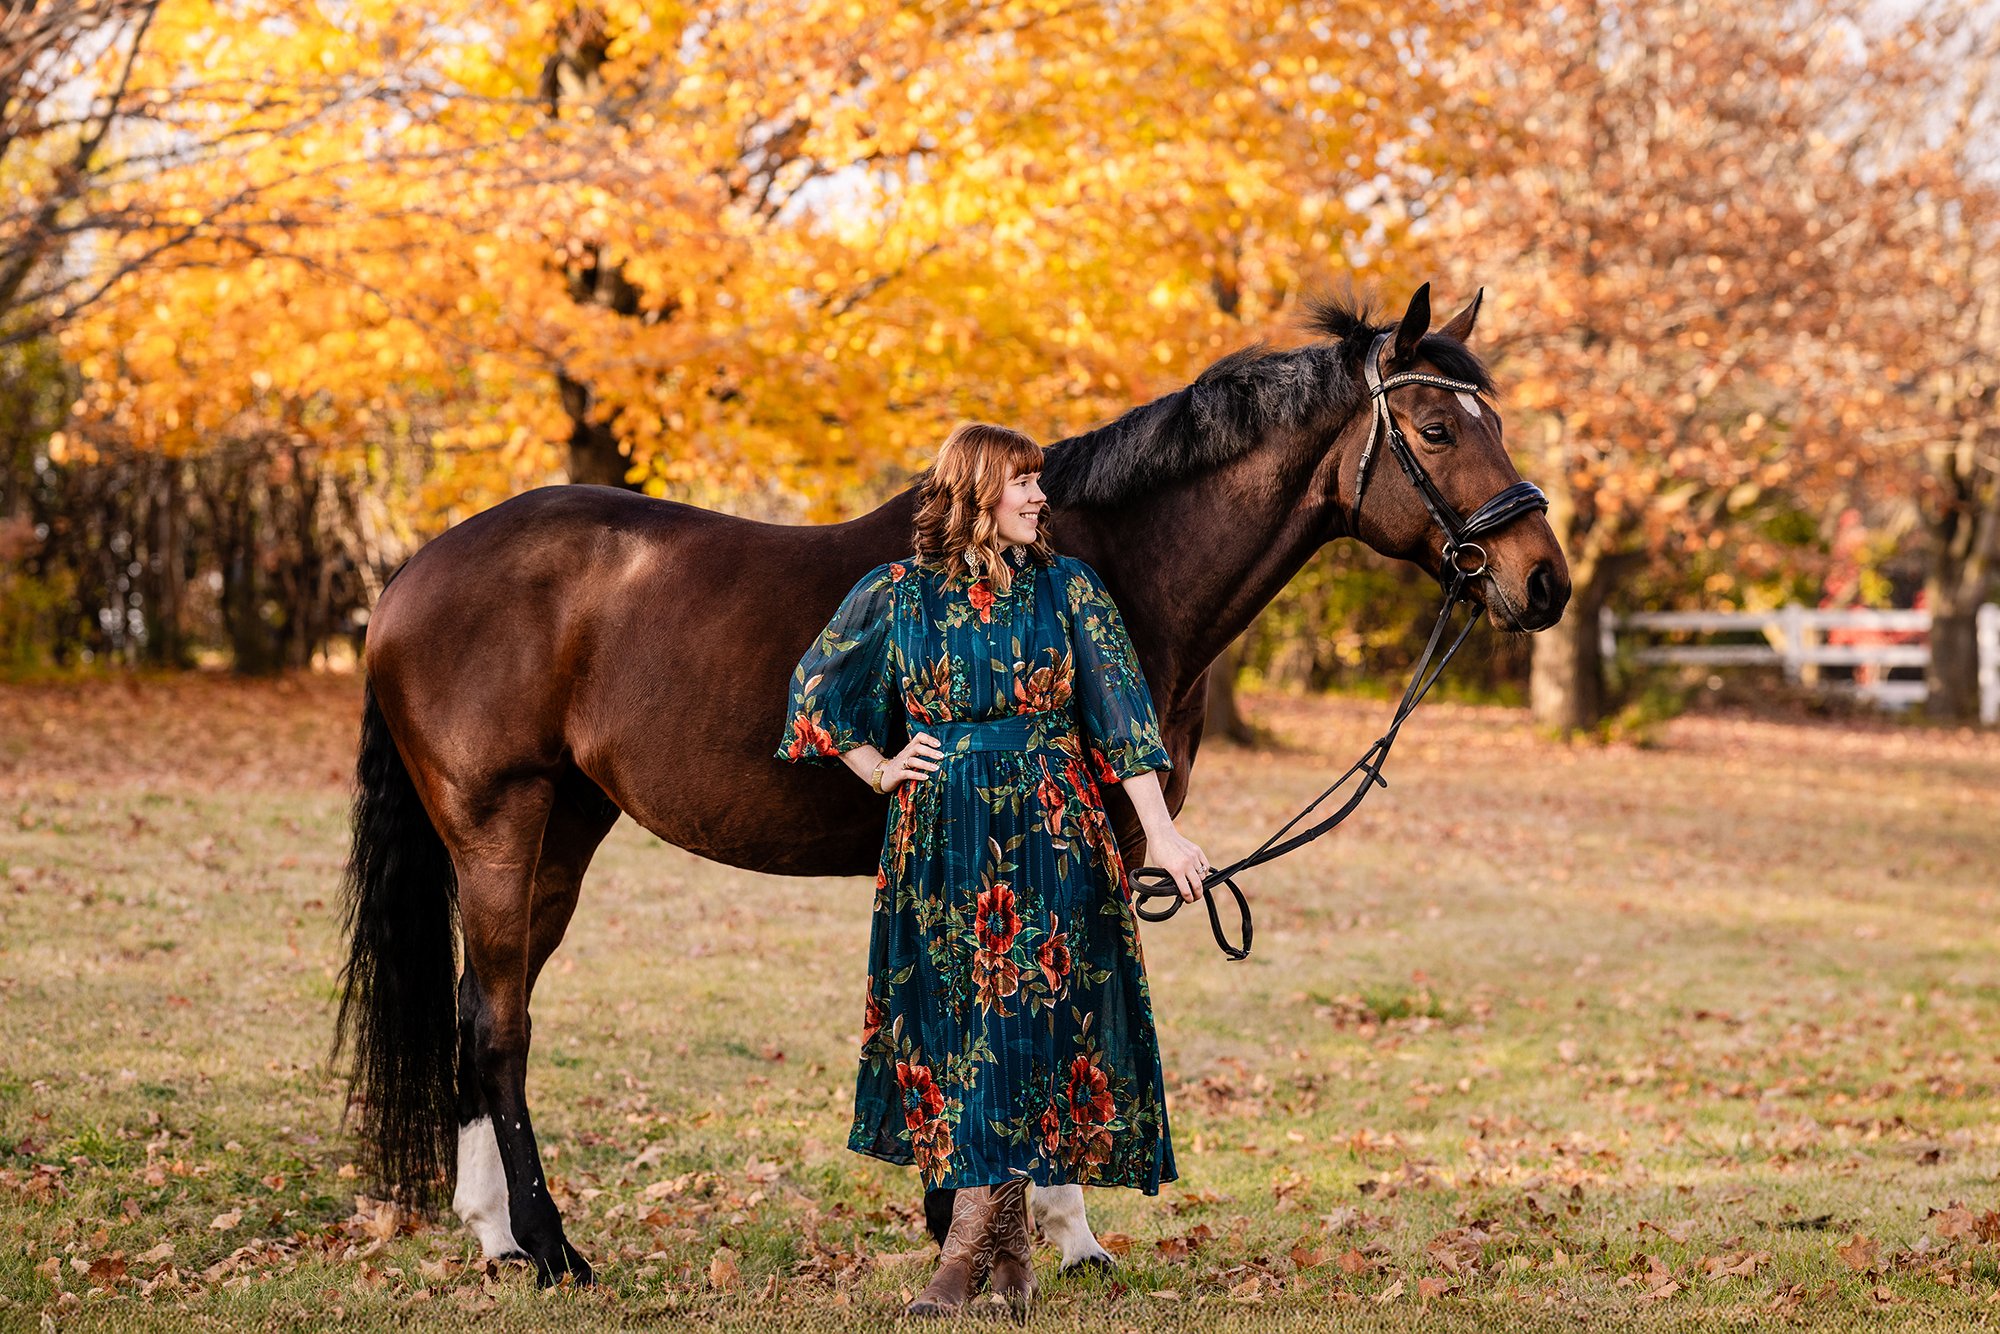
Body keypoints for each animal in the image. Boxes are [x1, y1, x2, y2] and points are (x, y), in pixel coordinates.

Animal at [333, 284, 1571, 1286]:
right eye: (1432, 427)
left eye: (1493, 420)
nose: (1542, 581)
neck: (1101, 556)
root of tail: (410, 572)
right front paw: (1043, 1231)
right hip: (500, 825)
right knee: (499, 1026)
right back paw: (552, 1247)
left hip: (565, 828)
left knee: (478, 1012)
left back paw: (495, 1234)